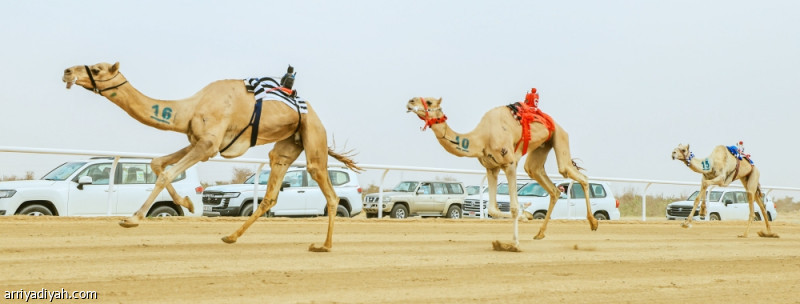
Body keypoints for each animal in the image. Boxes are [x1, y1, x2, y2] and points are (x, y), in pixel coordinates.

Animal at [62, 61, 360, 252]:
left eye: (97, 69)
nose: (67, 71)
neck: (189, 108)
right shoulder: (200, 143)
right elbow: (157, 164)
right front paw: (187, 203)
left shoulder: (207, 144)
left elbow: (167, 172)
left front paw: (132, 219)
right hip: (287, 144)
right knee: (271, 189)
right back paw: (230, 236)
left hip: (313, 134)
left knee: (327, 188)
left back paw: (324, 246)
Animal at [410, 88, 596, 252]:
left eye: (429, 101)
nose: (410, 101)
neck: (482, 138)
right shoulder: (491, 168)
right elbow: (492, 209)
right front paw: (524, 218)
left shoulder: (509, 163)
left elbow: (513, 207)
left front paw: (515, 244)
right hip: (542, 148)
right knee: (547, 183)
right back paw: (540, 233)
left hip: (559, 137)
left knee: (577, 175)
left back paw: (593, 223)